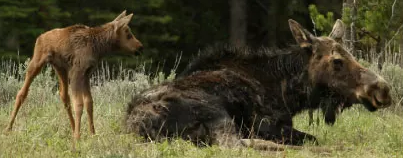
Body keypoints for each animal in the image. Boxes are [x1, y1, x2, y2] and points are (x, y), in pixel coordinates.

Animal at [5, 10, 144, 142]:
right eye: (128, 34)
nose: (140, 47)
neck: (99, 48)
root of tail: (39, 37)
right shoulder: (77, 72)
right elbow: (79, 104)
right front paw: (78, 138)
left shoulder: (86, 73)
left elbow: (89, 102)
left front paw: (92, 133)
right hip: (38, 61)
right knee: (22, 92)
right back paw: (8, 128)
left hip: (61, 68)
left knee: (64, 95)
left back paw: (72, 128)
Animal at [125, 19, 392, 147]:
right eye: (337, 61)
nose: (383, 89)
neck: (287, 93)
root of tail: (137, 125)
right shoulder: (265, 123)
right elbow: (312, 137)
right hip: (217, 114)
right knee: (237, 144)